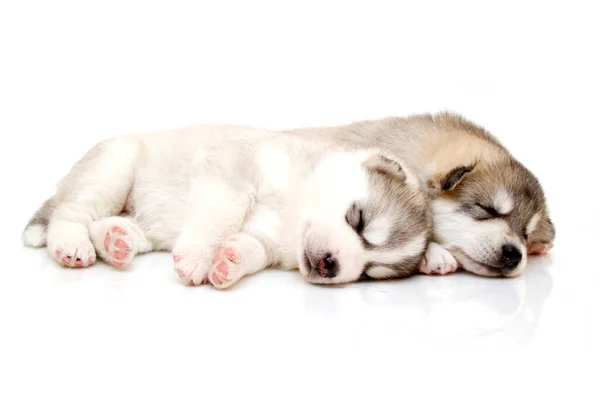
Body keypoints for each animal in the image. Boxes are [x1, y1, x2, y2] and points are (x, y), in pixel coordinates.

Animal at [19, 128, 432, 288]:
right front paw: (198, 259)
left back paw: (115, 240)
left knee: (105, 224)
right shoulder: (231, 174)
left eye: (369, 272)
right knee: (70, 212)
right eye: (359, 221)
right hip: (113, 170)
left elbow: (250, 247)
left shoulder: (267, 242)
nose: (331, 266)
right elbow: (219, 218)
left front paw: (229, 262)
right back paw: (72, 244)